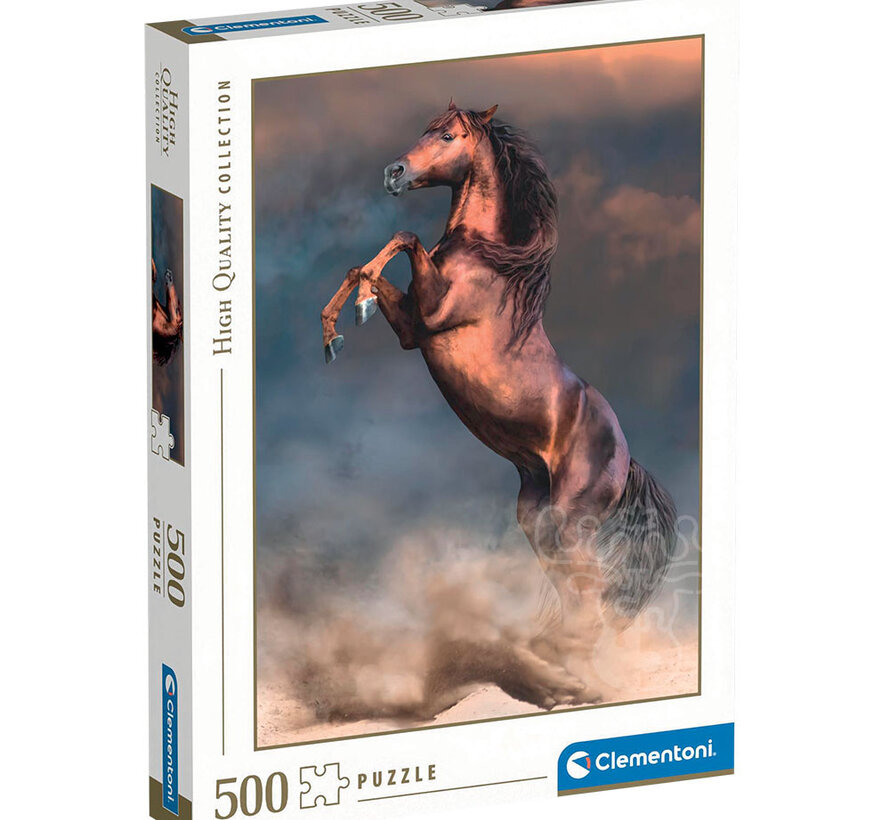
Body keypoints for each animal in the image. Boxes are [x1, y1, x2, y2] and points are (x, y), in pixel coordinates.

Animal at [320, 102, 678, 708]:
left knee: (591, 595)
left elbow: (403, 237)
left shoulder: (431, 315)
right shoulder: (413, 329)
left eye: (446, 135)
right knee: (577, 594)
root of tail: (627, 458)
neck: (485, 259)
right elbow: (362, 266)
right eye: (424, 129)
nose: (393, 173)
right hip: (538, 519)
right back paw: (559, 671)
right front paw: (333, 333)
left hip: (572, 518)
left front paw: (357, 310)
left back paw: (572, 676)